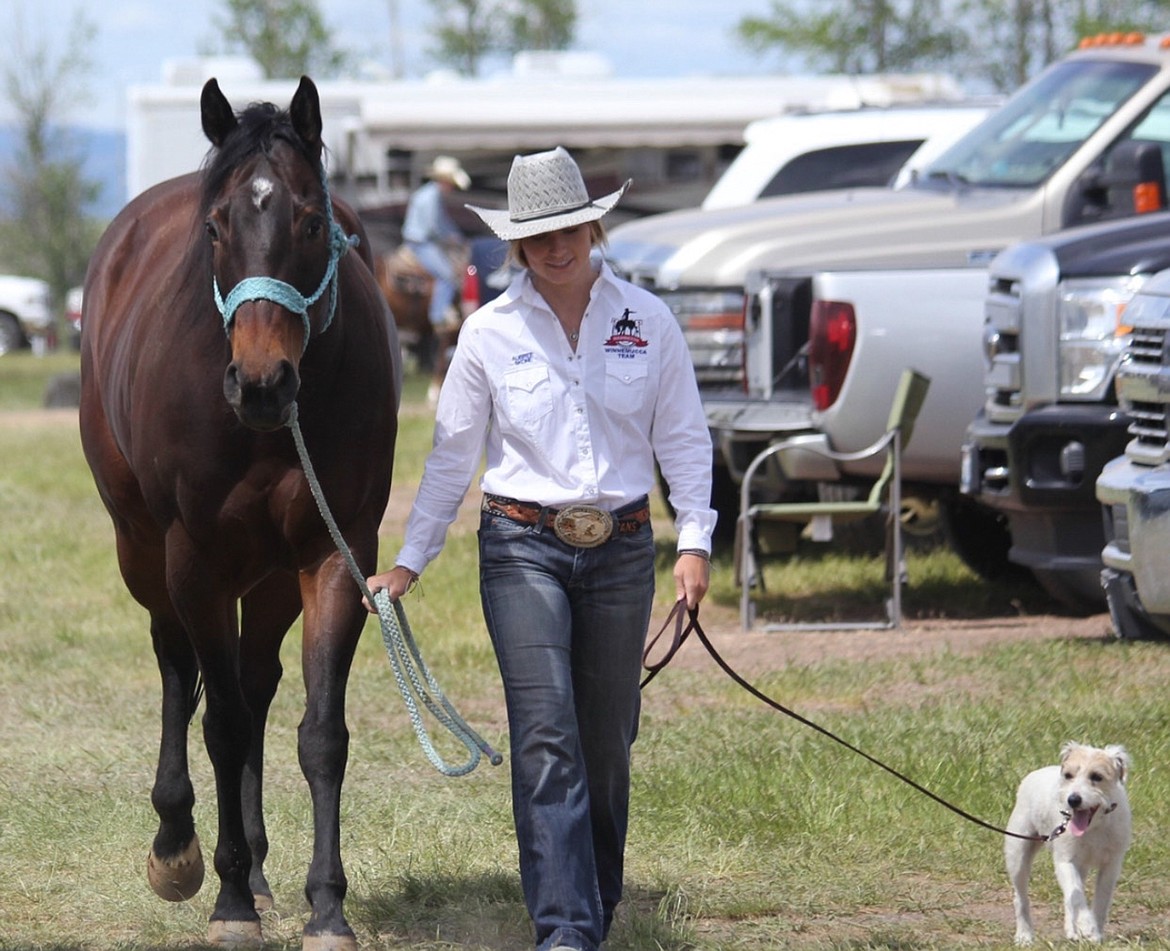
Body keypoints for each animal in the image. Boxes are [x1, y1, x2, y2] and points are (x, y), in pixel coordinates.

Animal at [80, 76, 402, 949]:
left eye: (313, 221)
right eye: (217, 227)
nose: (261, 383)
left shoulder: (333, 553)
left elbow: (319, 731)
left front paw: (326, 904)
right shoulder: (194, 558)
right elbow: (218, 723)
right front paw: (225, 900)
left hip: (270, 578)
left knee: (256, 685)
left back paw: (255, 866)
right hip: (142, 549)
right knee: (177, 664)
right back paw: (181, 847)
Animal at [1001, 743, 1127, 940]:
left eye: (1097, 777)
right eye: (1068, 775)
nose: (1073, 800)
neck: (1095, 826)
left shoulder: (1111, 866)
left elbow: (1100, 902)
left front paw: (1095, 934)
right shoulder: (1065, 861)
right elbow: (1076, 895)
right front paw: (1087, 925)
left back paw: (1072, 931)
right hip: (1018, 855)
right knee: (1021, 898)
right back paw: (1024, 935)